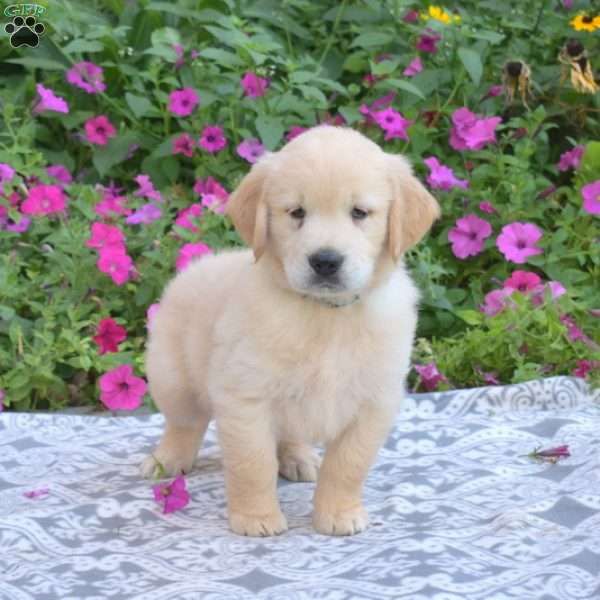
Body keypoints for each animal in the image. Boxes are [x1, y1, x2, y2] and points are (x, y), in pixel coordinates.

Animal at [142, 124, 440, 536]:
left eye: (359, 213)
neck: (325, 314)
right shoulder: (245, 397)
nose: (325, 261)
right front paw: (256, 518)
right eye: (297, 212)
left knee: (289, 434)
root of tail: (195, 266)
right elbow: (253, 464)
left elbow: (348, 464)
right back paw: (165, 460)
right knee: (183, 424)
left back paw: (299, 459)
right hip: (173, 377)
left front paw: (339, 513)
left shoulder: (374, 402)